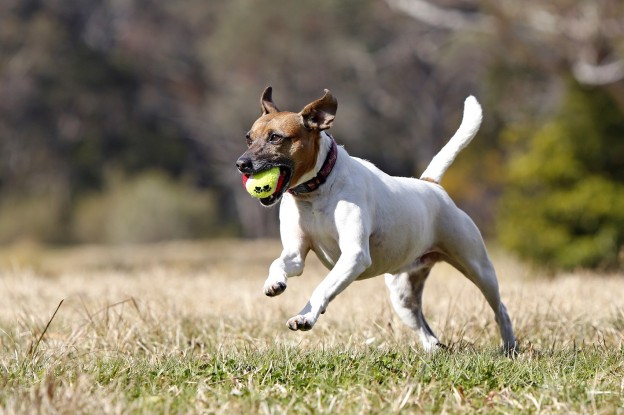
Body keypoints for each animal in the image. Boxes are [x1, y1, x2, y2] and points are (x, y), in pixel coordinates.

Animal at [235, 88, 516, 354]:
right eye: (249, 137)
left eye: (275, 137)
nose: (241, 164)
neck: (316, 189)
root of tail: (431, 185)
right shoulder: (295, 254)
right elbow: (280, 263)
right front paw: (274, 282)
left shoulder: (354, 256)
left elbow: (323, 287)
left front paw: (306, 316)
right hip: (402, 294)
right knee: (425, 329)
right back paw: (434, 350)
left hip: (477, 267)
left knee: (500, 308)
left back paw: (510, 347)